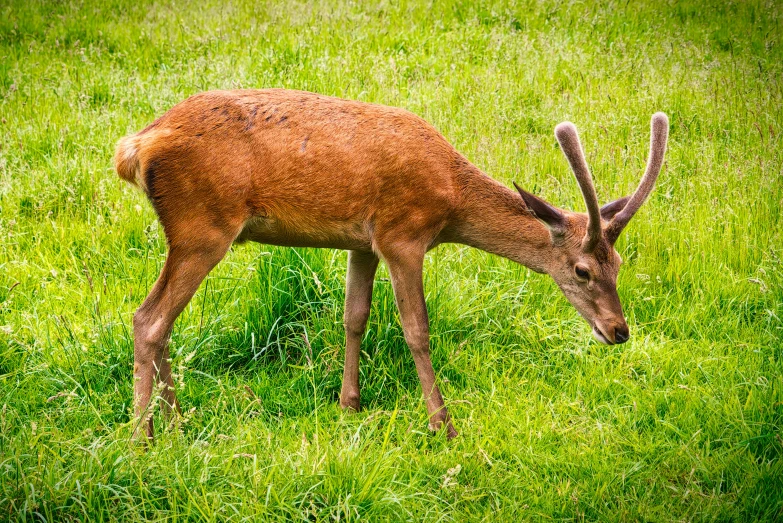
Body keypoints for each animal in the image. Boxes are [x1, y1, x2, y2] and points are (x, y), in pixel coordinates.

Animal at [115, 88, 668, 440]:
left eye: (620, 264)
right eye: (582, 270)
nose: (619, 330)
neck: (450, 199)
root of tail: (134, 147)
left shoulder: (363, 241)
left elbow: (353, 316)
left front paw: (349, 404)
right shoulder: (403, 234)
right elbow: (416, 329)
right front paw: (443, 425)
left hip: (193, 232)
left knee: (163, 322)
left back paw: (176, 422)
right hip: (202, 226)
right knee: (149, 318)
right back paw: (143, 439)